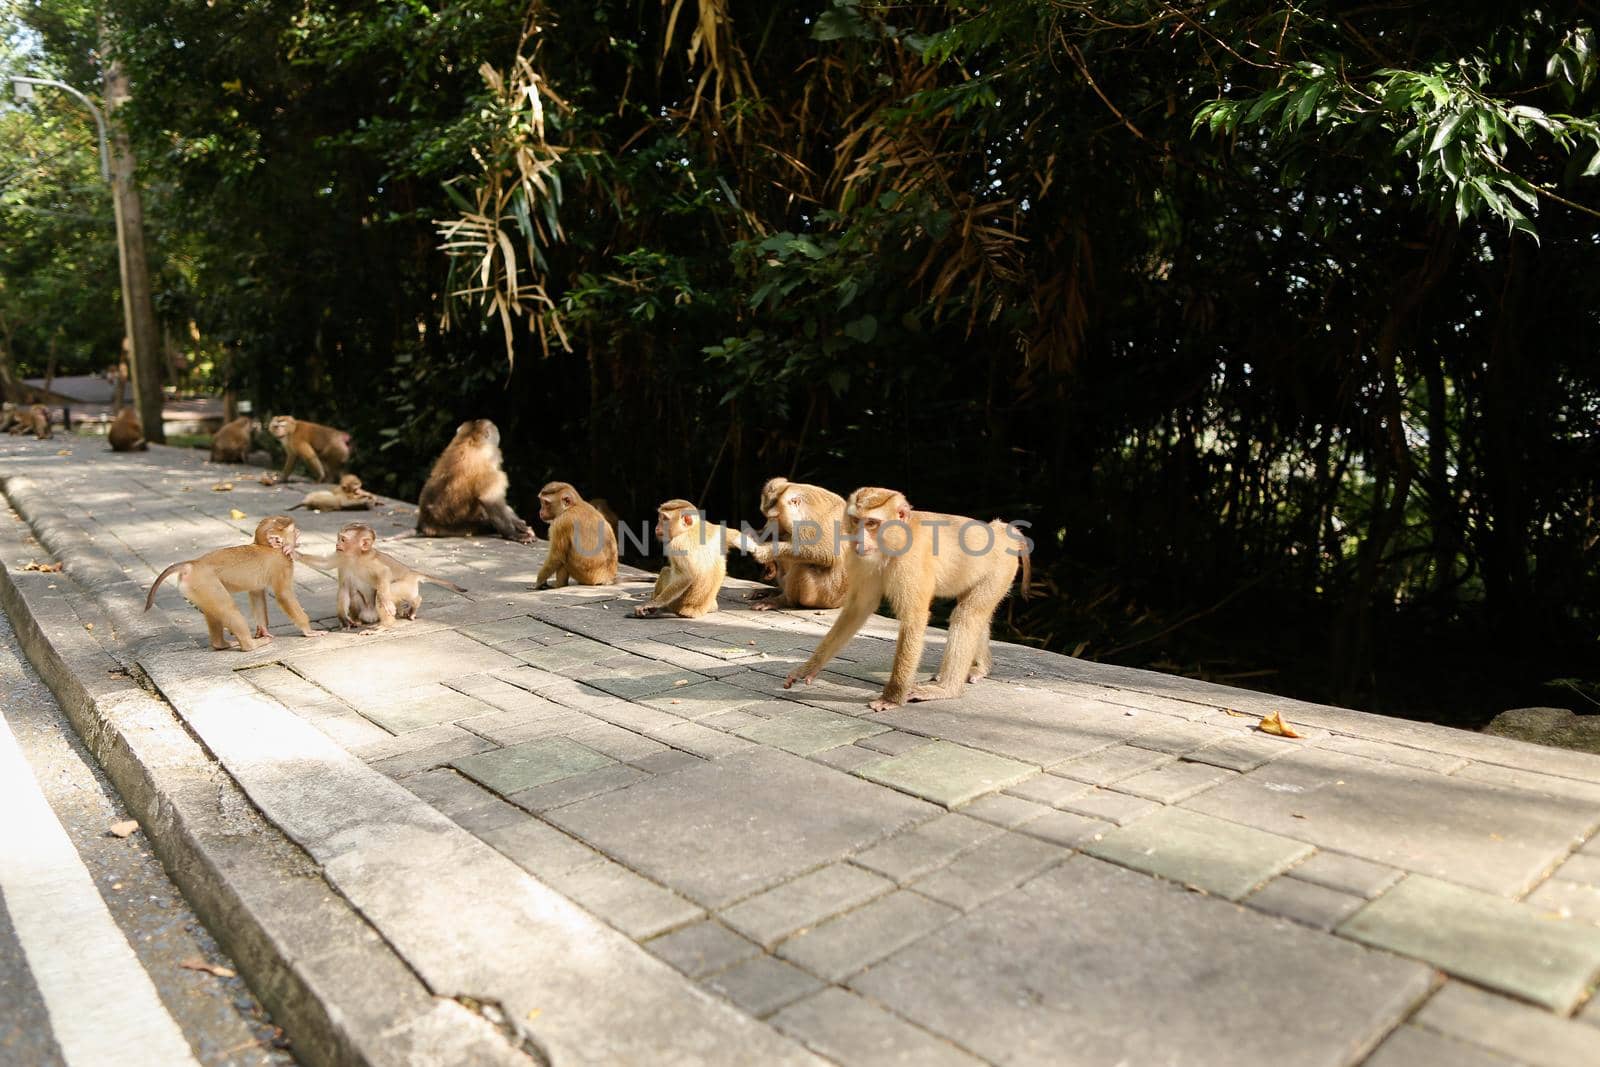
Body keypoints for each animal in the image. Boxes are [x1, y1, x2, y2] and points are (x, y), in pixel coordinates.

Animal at [147, 511, 324, 652]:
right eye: (294, 531)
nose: (299, 532)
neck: (267, 547)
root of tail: (192, 565)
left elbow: (256, 594)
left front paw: (263, 630)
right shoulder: (283, 563)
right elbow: (284, 595)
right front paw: (308, 631)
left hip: (199, 590)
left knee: (214, 610)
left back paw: (221, 644)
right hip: (206, 584)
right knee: (228, 608)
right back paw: (249, 645)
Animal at [300, 524, 467, 630]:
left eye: (343, 539)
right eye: (339, 538)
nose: (336, 544)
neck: (355, 557)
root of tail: (411, 572)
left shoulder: (369, 561)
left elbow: (384, 572)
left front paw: (386, 602)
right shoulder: (342, 558)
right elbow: (340, 583)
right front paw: (344, 619)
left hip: (406, 585)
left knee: (386, 591)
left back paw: (389, 622)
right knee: (354, 594)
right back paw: (358, 620)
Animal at [745, 479, 851, 614]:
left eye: (774, 517)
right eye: (767, 517)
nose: (768, 526)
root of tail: (842, 602)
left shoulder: (814, 522)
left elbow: (828, 554)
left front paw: (765, 552)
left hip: (827, 597)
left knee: (801, 565)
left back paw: (783, 600)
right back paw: (776, 591)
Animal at [780, 489, 1030, 710]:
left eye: (871, 523)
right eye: (855, 520)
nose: (858, 540)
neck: (894, 542)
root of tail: (1001, 533)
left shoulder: (910, 562)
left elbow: (913, 618)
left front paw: (892, 697)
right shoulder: (861, 560)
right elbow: (858, 609)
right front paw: (809, 668)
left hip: (1000, 570)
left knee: (967, 614)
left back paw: (947, 689)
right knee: (972, 613)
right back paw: (981, 667)